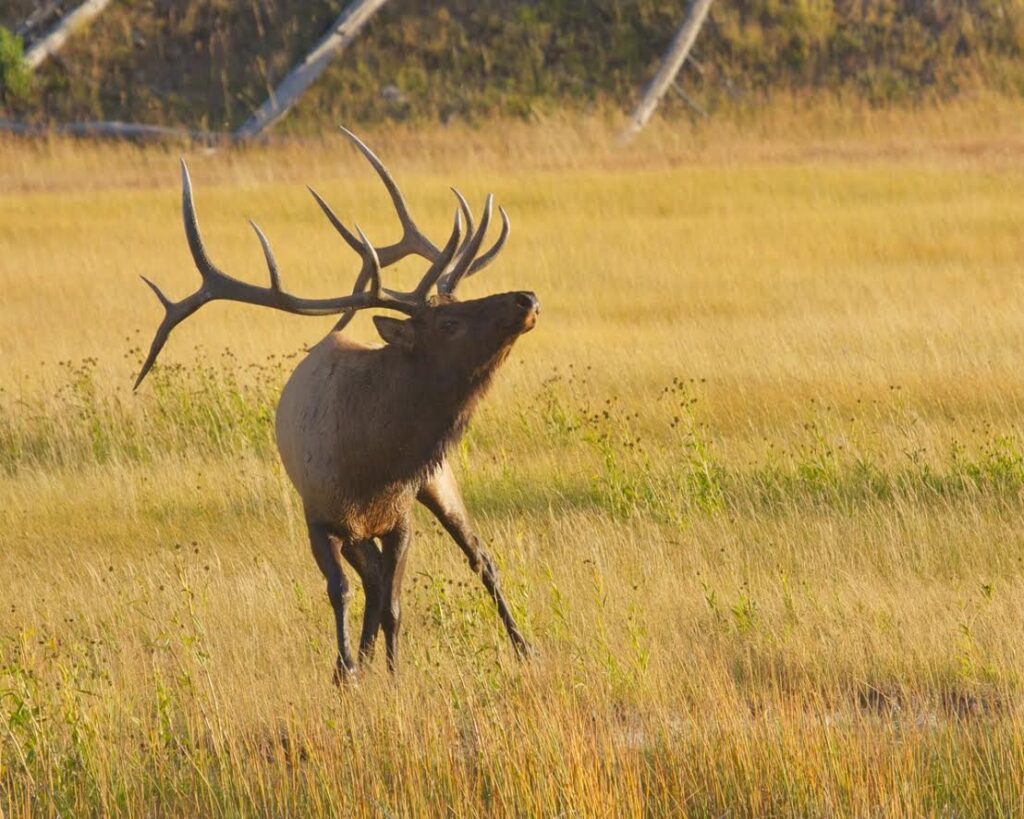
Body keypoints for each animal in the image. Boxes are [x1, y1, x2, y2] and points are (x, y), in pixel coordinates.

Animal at [134, 129, 538, 680]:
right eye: (448, 322)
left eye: (459, 304)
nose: (526, 299)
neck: (373, 466)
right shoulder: (319, 515)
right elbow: (343, 591)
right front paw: (347, 670)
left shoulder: (400, 516)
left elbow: (394, 602)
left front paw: (390, 674)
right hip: (358, 527)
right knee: (371, 581)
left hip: (438, 482)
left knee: (479, 557)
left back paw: (524, 646)